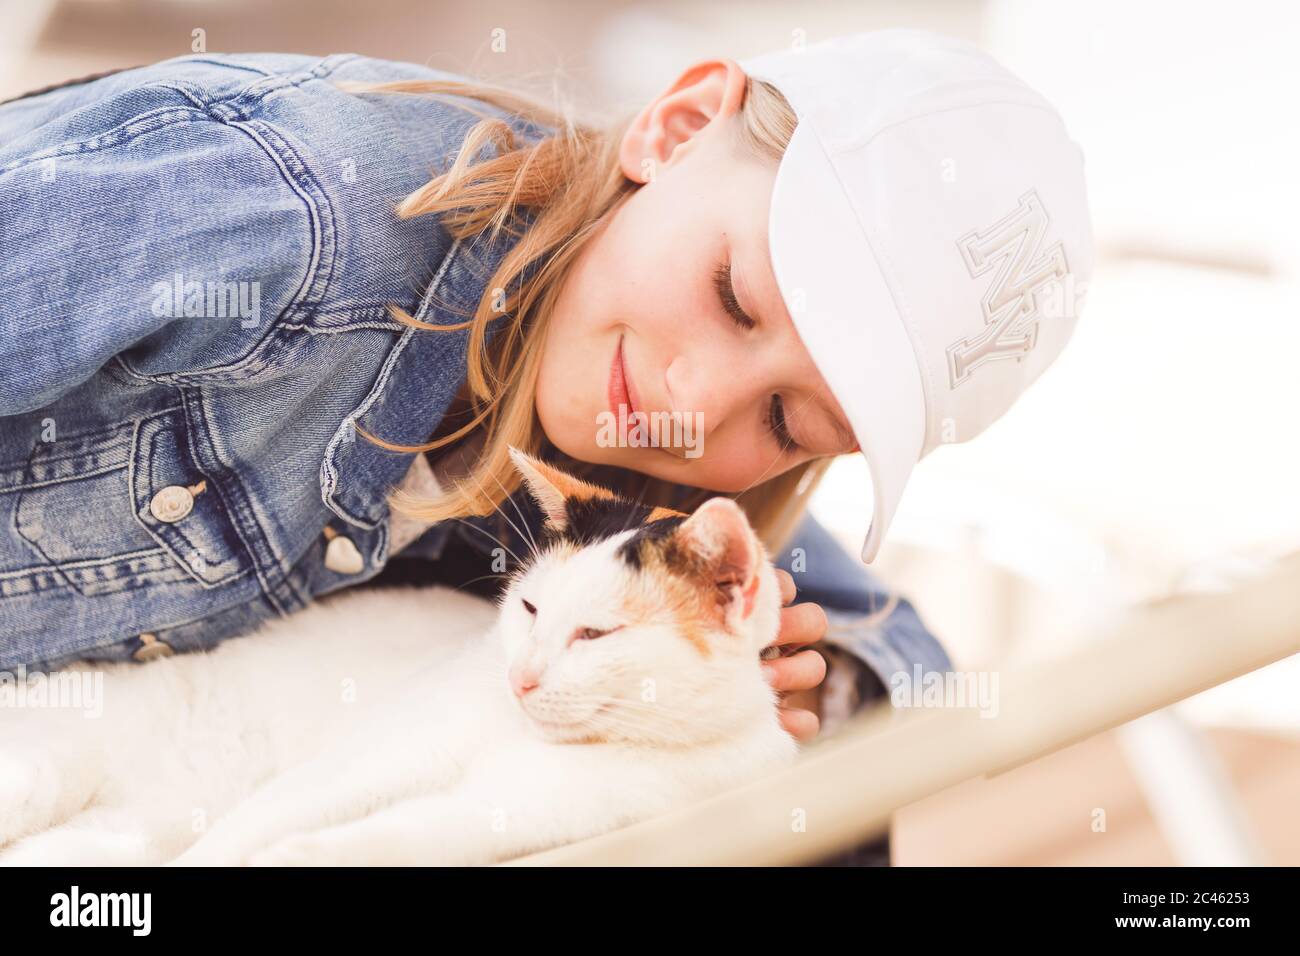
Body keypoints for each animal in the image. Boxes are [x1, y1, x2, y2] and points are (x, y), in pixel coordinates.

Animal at [0, 447, 795, 868]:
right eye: (531, 610)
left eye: (596, 636)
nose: (519, 678)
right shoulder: (369, 761)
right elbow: (248, 831)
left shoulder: (509, 814)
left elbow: (385, 839)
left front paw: (297, 857)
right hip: (48, 770)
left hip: (112, 831)